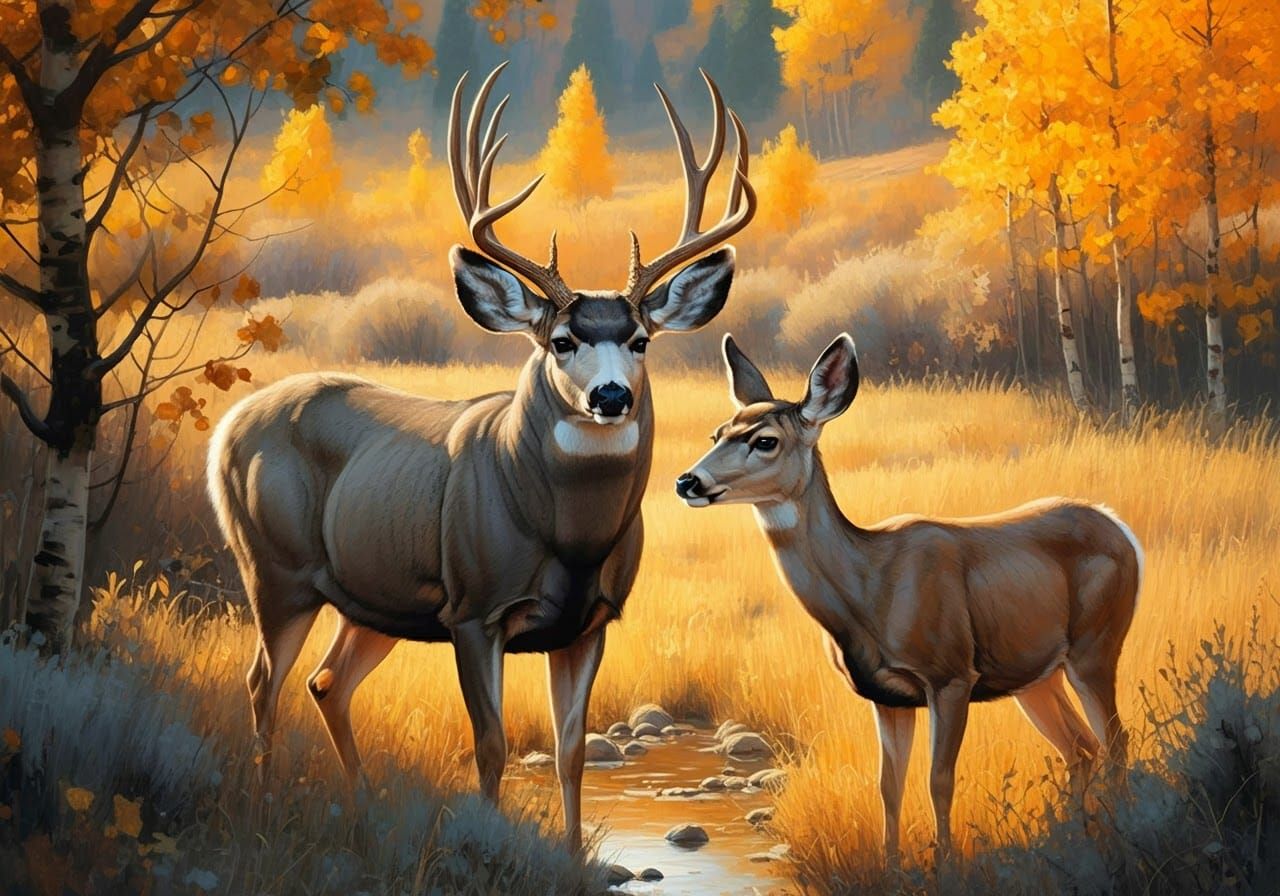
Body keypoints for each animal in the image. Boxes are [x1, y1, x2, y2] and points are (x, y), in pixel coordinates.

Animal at [206, 63, 755, 851]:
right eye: (561, 341)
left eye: (642, 340)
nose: (612, 396)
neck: (567, 537)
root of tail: (225, 427)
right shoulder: (472, 608)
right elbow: (491, 743)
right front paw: (488, 845)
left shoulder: (592, 622)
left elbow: (570, 749)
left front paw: (571, 856)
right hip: (272, 568)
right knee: (262, 681)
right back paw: (261, 806)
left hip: (370, 601)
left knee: (326, 682)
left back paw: (361, 808)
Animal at [676, 333, 1141, 859]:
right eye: (717, 433)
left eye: (765, 441)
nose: (687, 481)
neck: (868, 590)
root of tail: (1122, 530)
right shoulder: (887, 696)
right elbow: (889, 786)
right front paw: (892, 864)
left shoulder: (951, 674)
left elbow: (939, 780)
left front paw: (946, 864)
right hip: (1035, 676)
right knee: (1080, 747)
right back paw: (1077, 838)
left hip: (1096, 646)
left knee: (1116, 741)